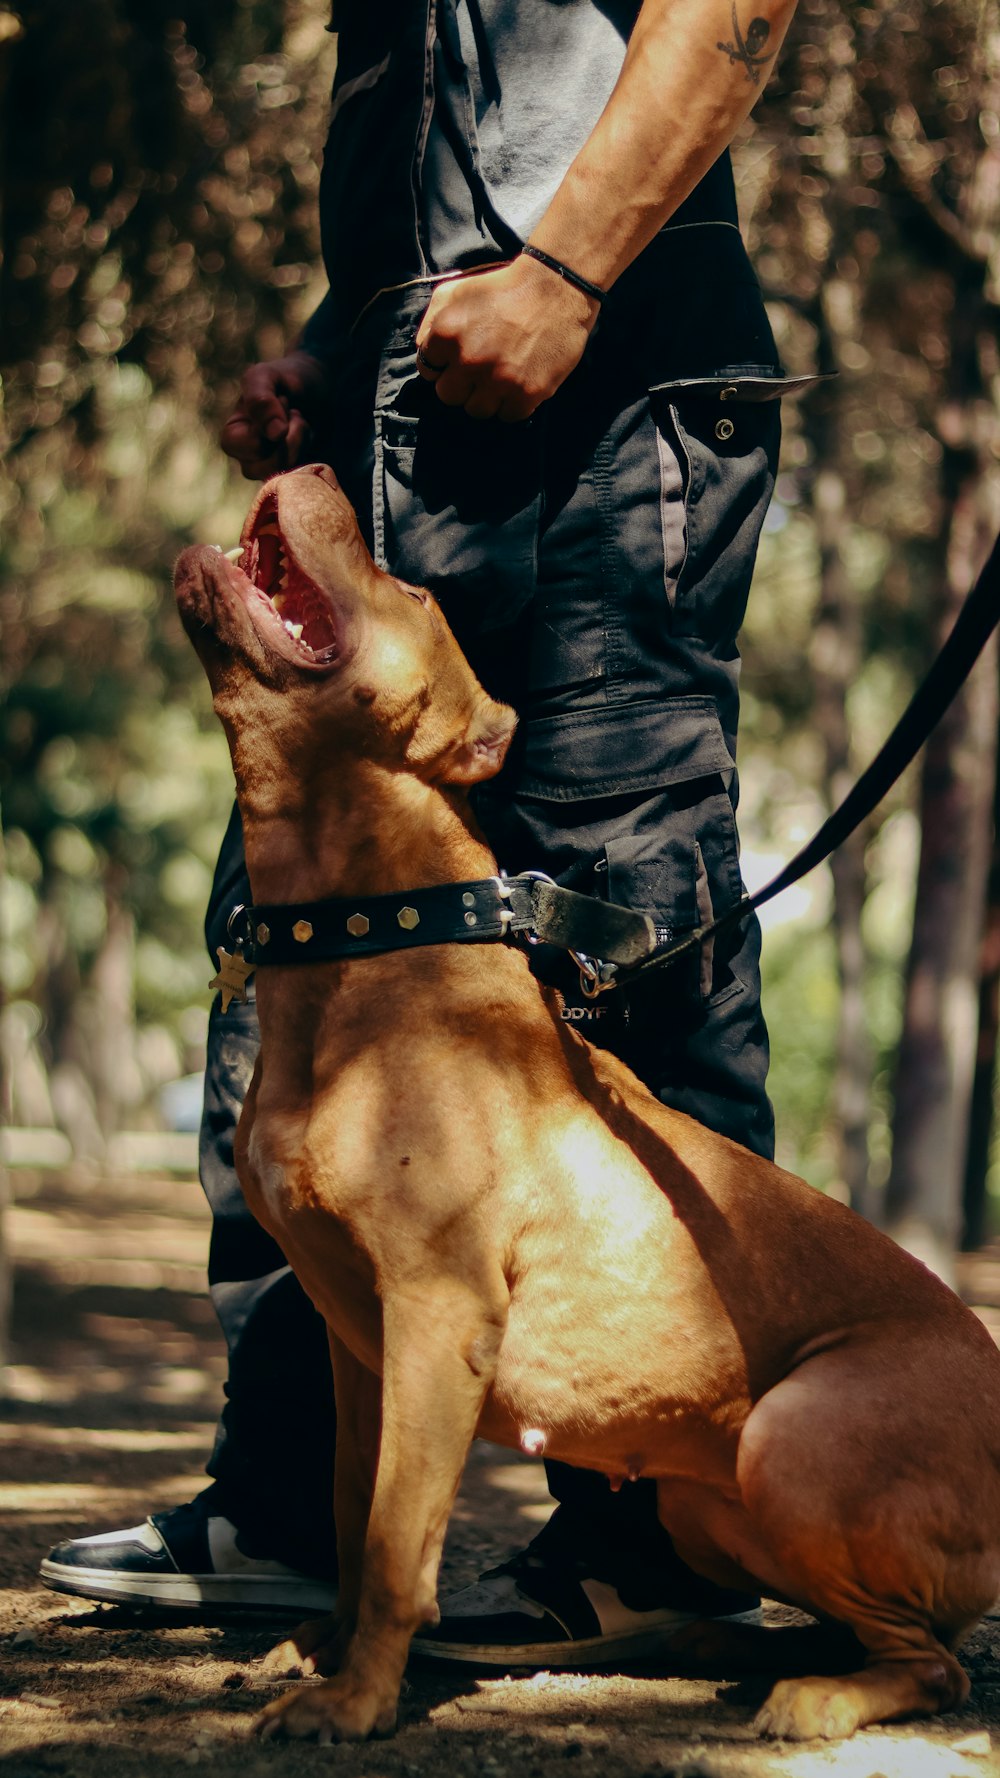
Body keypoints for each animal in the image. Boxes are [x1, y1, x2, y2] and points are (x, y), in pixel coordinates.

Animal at [175, 462, 996, 1749]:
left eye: (415, 587)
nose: (308, 467)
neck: (365, 942)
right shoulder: (357, 1339)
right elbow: (354, 1519)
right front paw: (323, 1649)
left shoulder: (439, 1314)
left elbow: (397, 1541)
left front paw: (357, 1698)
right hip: (705, 1500)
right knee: (855, 1623)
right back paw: (718, 1643)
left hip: (793, 1438)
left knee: (933, 1659)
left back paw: (810, 1695)